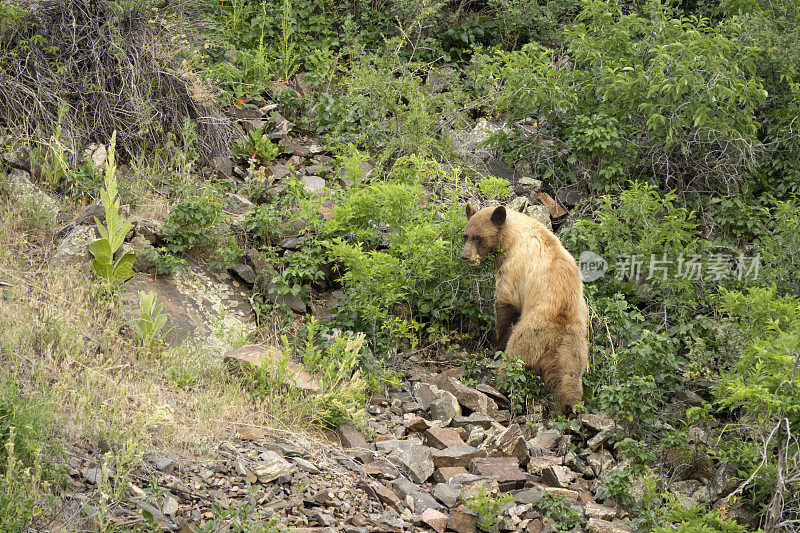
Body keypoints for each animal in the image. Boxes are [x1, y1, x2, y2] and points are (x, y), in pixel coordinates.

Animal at [462, 203, 588, 412]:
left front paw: (495, 346)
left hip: (529, 336)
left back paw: (497, 389)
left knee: (513, 362)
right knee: (569, 378)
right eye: (465, 235)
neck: (511, 236)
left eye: (478, 237)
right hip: (574, 348)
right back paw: (570, 406)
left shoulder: (513, 265)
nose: (465, 256)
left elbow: (506, 303)